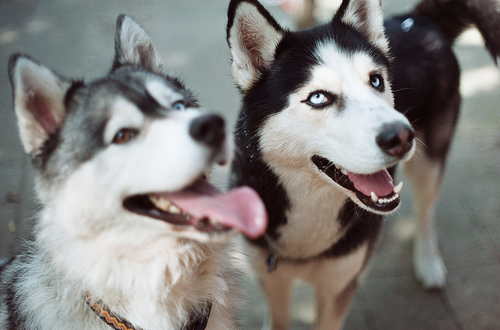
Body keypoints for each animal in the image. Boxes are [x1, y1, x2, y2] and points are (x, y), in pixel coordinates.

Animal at [228, 0, 500, 328]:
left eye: (376, 81)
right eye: (318, 98)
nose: (401, 136)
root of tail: (415, 19)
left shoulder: (338, 287)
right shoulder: (272, 280)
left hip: (429, 161)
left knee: (426, 209)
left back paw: (428, 262)